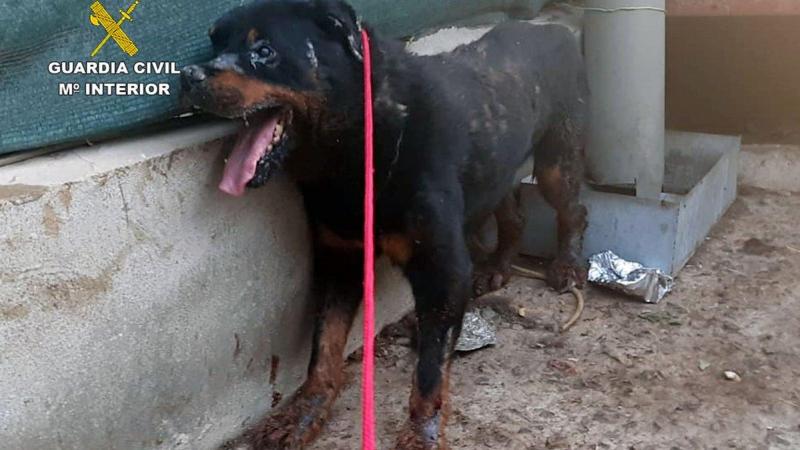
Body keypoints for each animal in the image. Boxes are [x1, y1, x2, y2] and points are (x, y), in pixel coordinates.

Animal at [183, 1, 588, 448]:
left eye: (265, 51)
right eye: (217, 44)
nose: (188, 75)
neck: (360, 145)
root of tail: (552, 29)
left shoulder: (442, 270)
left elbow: (429, 368)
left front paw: (421, 432)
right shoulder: (341, 259)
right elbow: (323, 346)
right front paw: (307, 411)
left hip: (556, 162)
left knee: (574, 211)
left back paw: (568, 265)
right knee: (514, 215)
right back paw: (498, 267)